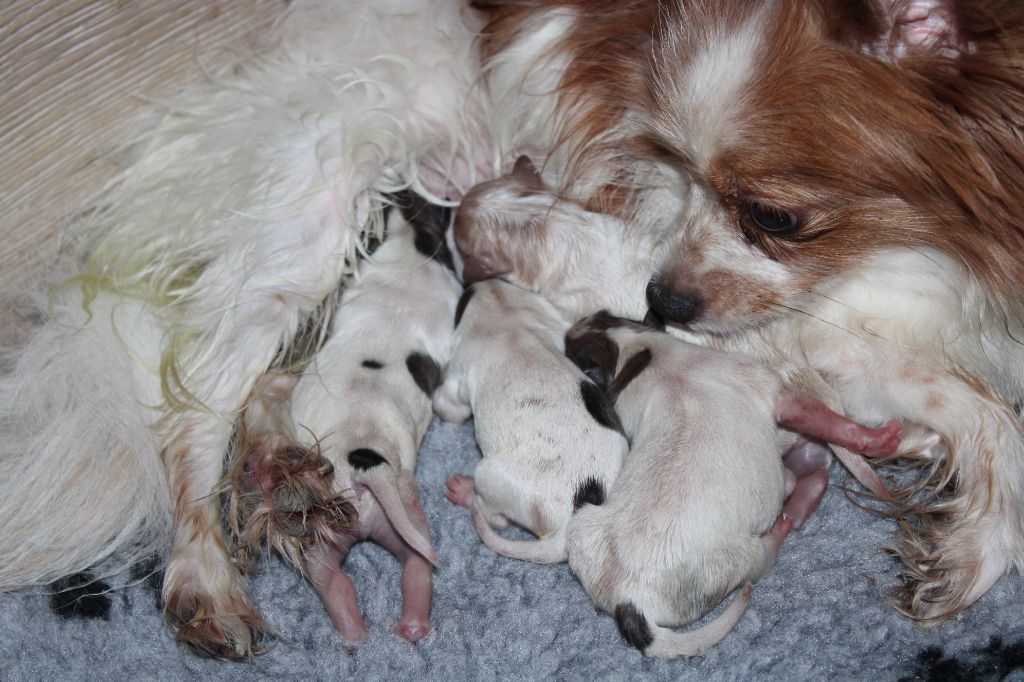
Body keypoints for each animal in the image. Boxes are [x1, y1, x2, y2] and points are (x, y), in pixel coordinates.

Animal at [232, 191, 460, 643]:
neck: (411, 242)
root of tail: (365, 468)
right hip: (403, 510)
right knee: (412, 562)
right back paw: (399, 627)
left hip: (324, 532)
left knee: (330, 577)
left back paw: (356, 634)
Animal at [434, 276, 626, 561]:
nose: (484, 278)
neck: (505, 312)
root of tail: (566, 532)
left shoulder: (458, 374)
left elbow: (450, 407)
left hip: (490, 475)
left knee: (494, 517)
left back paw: (466, 492)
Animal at [565, 311, 901, 655]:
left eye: (601, 315)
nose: (568, 331)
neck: (634, 351)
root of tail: (628, 601)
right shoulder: (772, 389)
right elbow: (827, 420)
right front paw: (875, 439)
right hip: (740, 558)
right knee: (762, 558)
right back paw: (783, 519)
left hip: (584, 526)